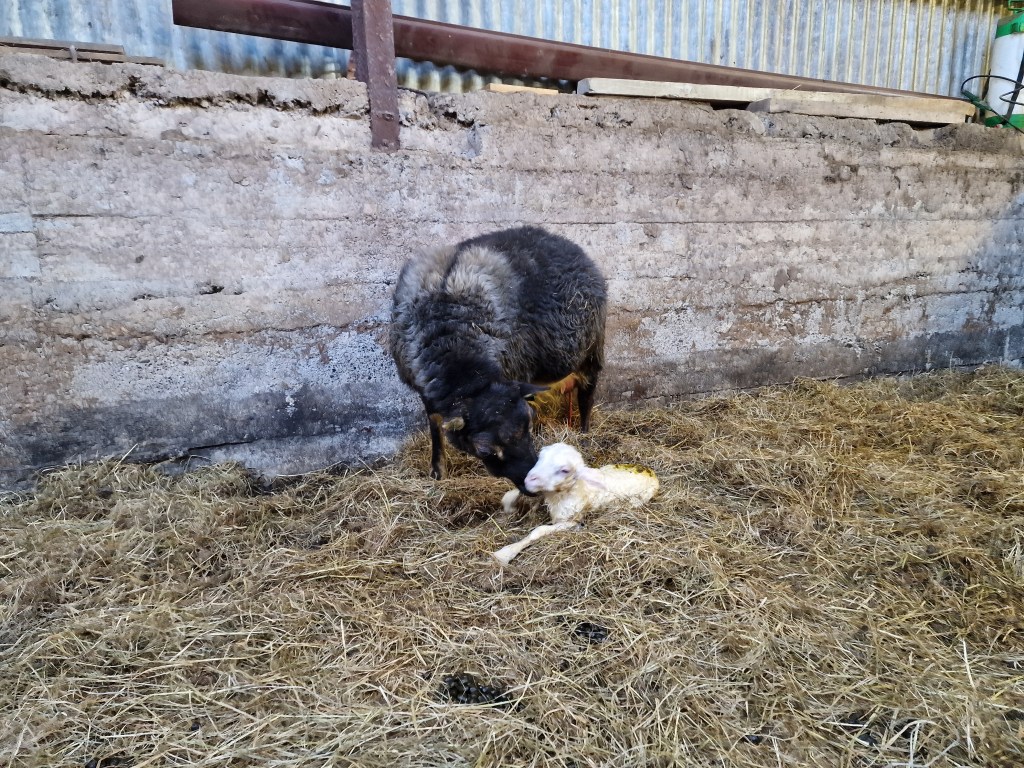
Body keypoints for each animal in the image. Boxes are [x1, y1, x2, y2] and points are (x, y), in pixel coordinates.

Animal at [390, 226, 607, 492]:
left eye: (528, 426)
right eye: (484, 450)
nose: (528, 480)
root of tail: (559, 239)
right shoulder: (427, 392)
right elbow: (435, 429)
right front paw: (437, 473)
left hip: (591, 351)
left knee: (586, 397)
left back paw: (585, 434)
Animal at [492, 442, 659, 565]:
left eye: (564, 470)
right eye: (540, 456)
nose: (529, 479)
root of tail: (651, 472)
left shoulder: (571, 521)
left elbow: (539, 531)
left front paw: (505, 553)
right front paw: (509, 502)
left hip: (638, 500)